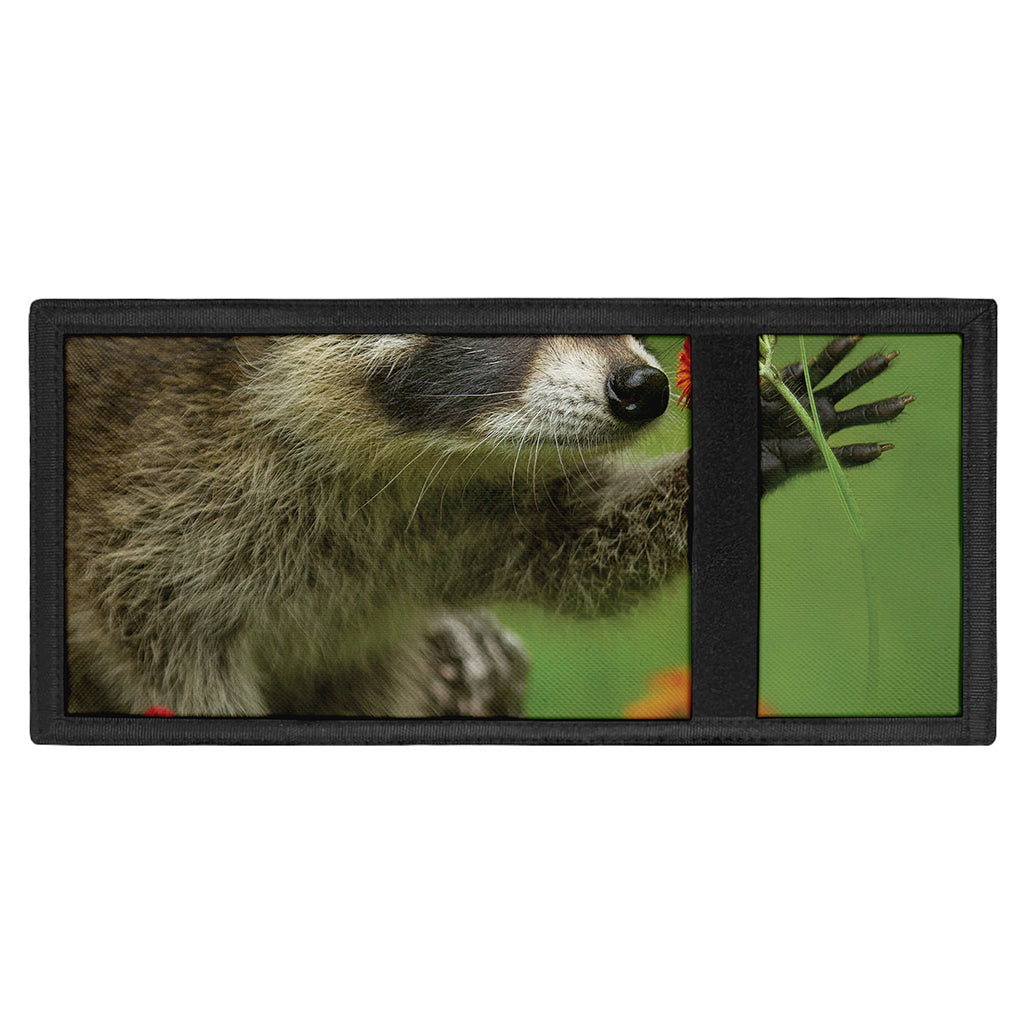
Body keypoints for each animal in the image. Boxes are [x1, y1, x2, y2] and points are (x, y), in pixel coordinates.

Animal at [64, 333, 911, 717]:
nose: (645, 388)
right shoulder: (145, 508)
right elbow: (176, 670)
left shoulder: (473, 506)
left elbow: (580, 548)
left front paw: (761, 434)